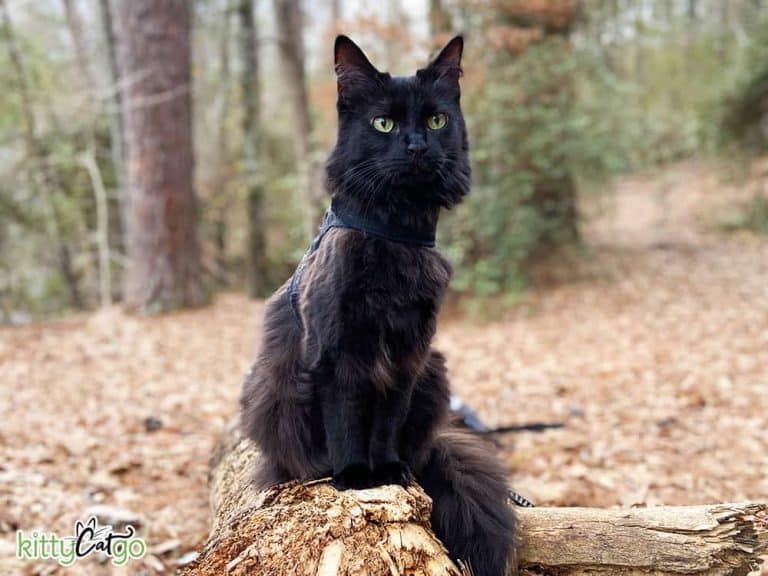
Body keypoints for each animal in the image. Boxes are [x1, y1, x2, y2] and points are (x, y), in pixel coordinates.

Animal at [240, 35, 516, 576]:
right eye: (383, 124)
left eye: (437, 121)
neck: (395, 234)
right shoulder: (337, 351)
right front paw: (353, 476)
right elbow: (347, 419)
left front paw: (385, 470)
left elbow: (386, 420)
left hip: (435, 371)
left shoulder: (410, 353)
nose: (416, 147)